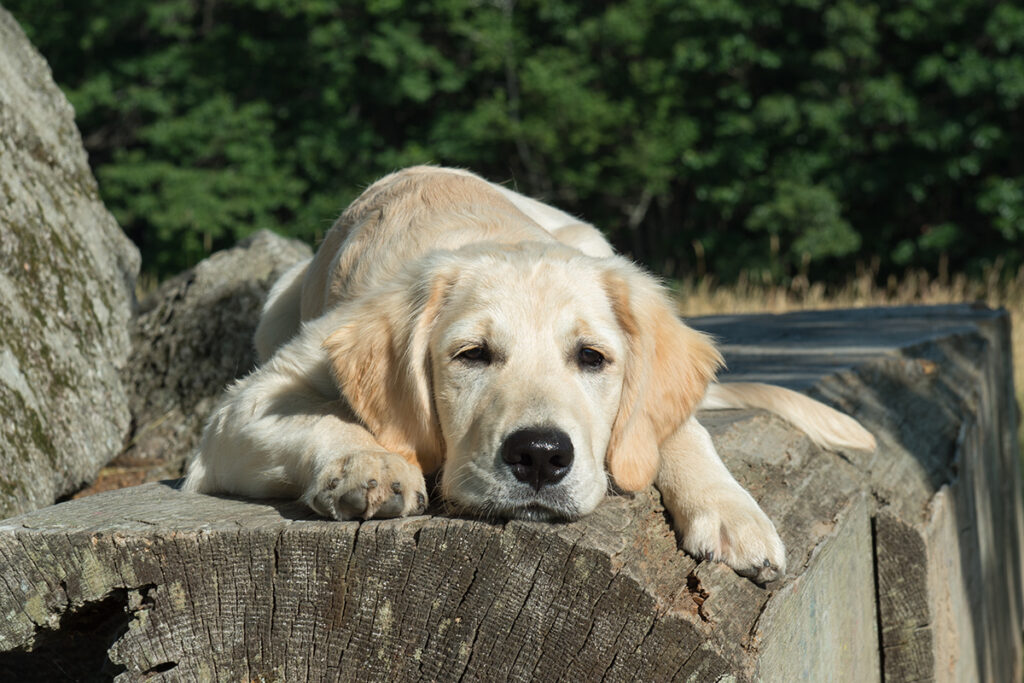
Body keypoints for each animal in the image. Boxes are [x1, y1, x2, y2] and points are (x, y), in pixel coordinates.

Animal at [184, 165, 872, 581]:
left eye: (591, 358)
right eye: (472, 355)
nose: (540, 456)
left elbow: (677, 428)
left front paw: (730, 510)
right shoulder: (244, 404)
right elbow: (321, 418)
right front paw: (371, 464)